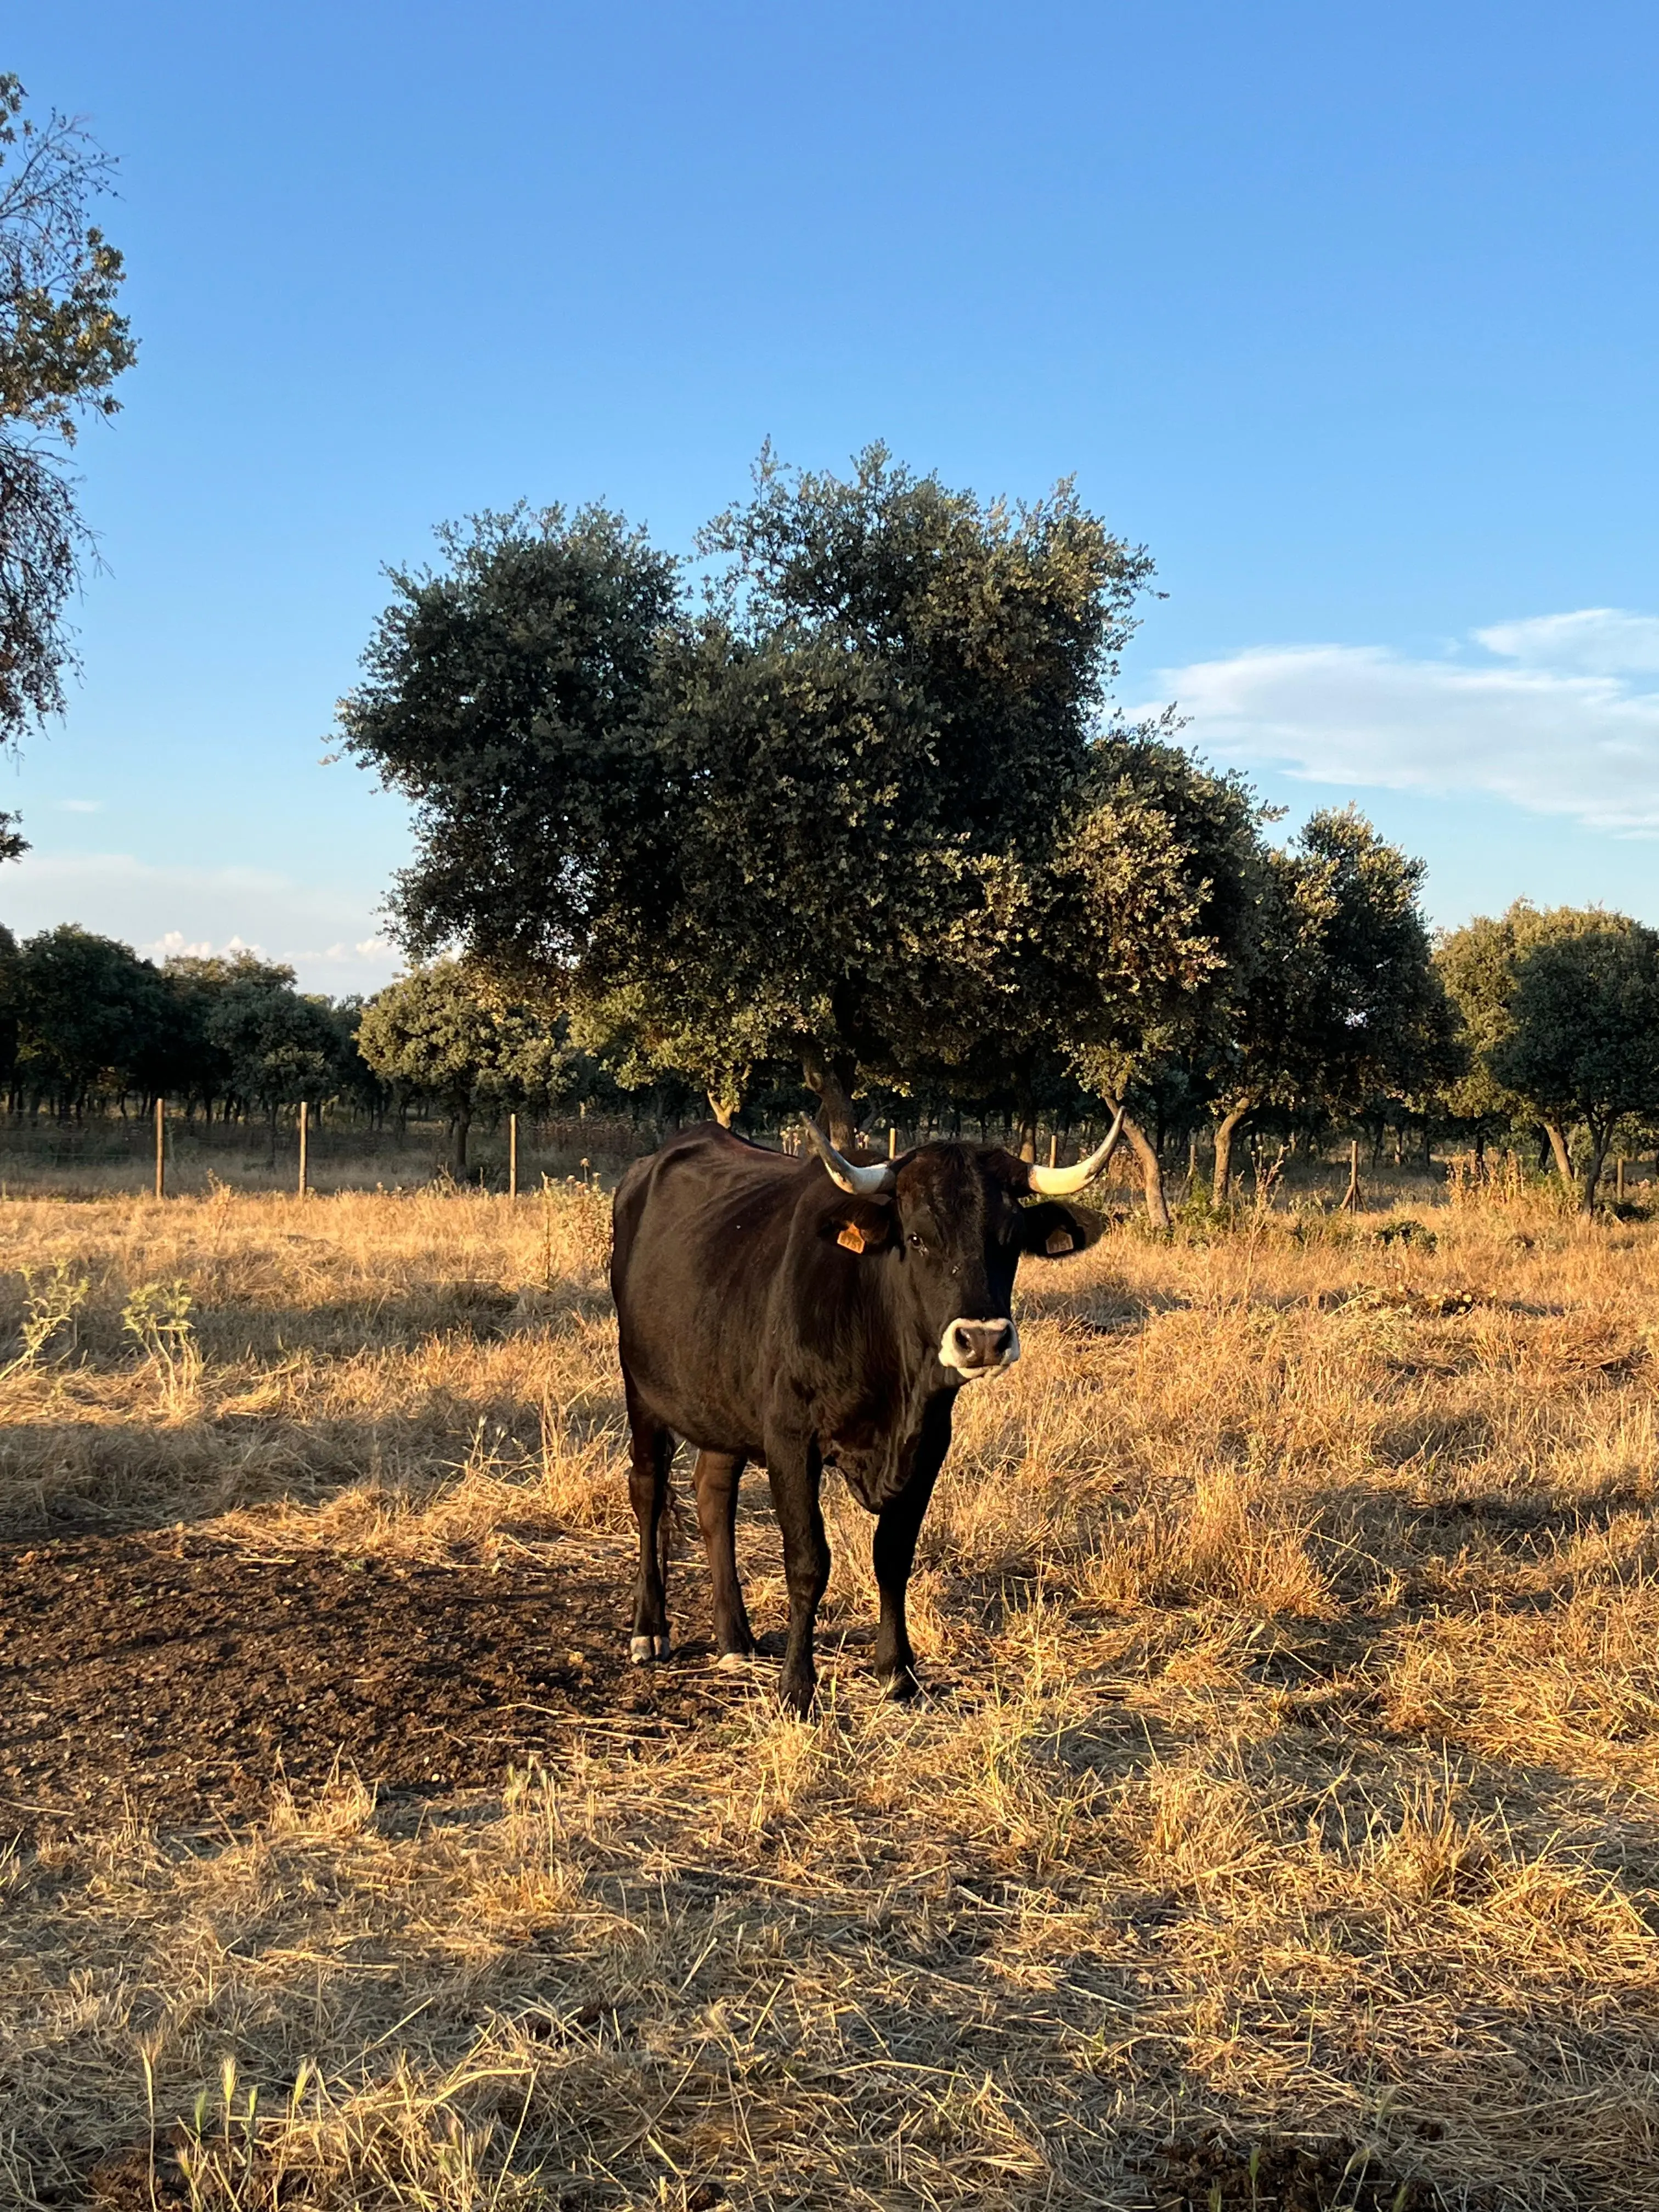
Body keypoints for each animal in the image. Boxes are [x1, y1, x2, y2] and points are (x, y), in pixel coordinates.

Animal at [608, 1111, 1125, 1713]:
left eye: (1011, 1240)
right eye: (918, 1238)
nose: (983, 1340)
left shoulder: (930, 1445)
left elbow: (894, 1554)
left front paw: (896, 1671)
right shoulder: (790, 1441)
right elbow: (808, 1560)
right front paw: (797, 1686)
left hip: (721, 1403)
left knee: (714, 1496)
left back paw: (735, 1638)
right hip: (641, 1388)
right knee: (647, 1489)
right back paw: (649, 1629)